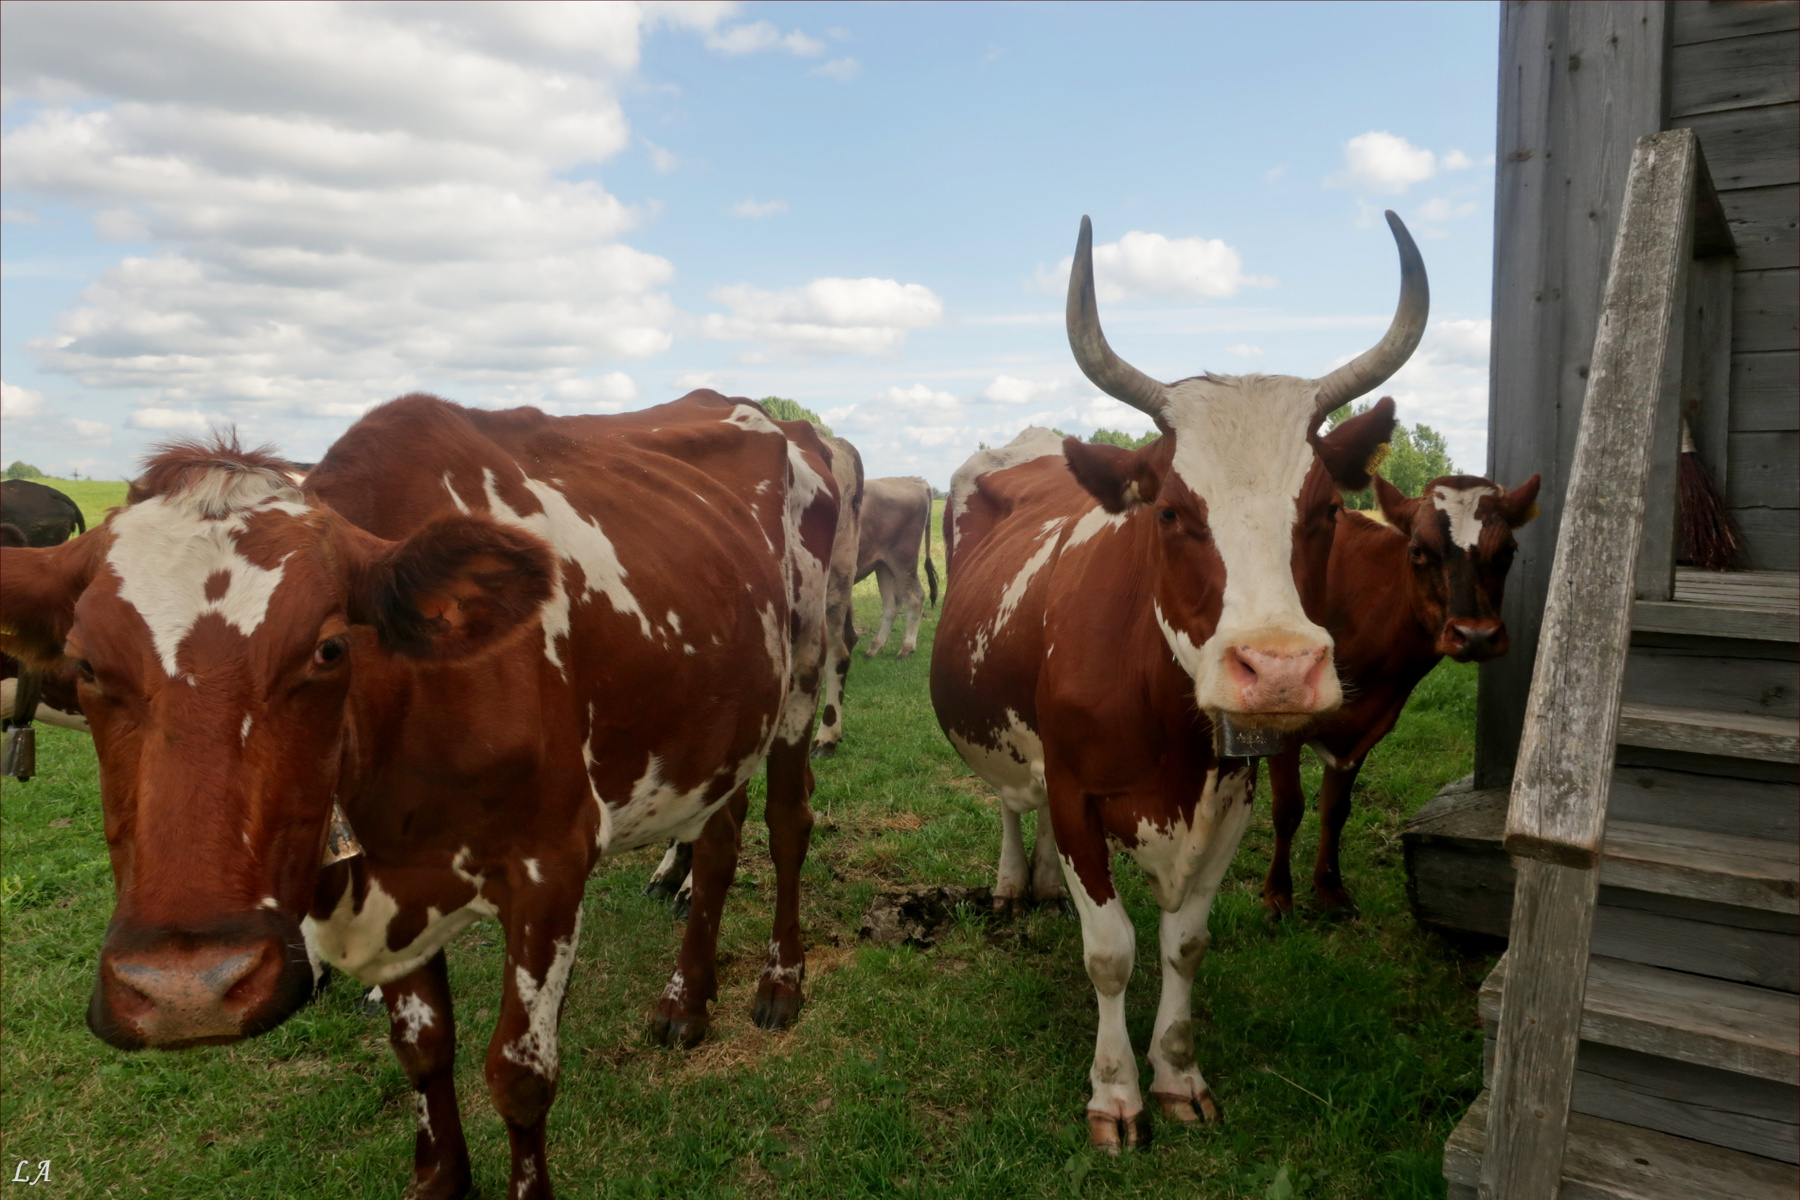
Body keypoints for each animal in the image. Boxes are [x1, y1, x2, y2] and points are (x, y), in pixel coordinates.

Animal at [0, 390, 840, 1200]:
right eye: (83, 663)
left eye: (329, 648)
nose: (186, 991)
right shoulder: (388, 884)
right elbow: (424, 1049)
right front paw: (439, 1175)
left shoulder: (551, 870)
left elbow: (520, 1076)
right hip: (721, 726)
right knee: (719, 841)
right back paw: (686, 1000)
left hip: (801, 682)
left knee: (786, 824)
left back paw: (779, 981)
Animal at [855, 476, 938, 660]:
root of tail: (915, 480)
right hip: (883, 565)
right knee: (892, 603)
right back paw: (874, 648)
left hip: (902, 561)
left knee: (915, 597)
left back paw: (906, 649)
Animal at [930, 211, 1424, 1152]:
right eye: (1170, 510)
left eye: (1326, 511)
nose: (1278, 668)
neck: (1166, 724)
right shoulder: (1078, 794)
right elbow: (1111, 950)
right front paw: (1115, 1091)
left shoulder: (1230, 796)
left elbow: (1184, 943)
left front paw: (1177, 1074)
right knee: (1012, 799)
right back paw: (1015, 880)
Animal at [1261, 470, 1540, 919]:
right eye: (1417, 551)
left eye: (1508, 552)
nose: (1476, 635)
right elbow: (1288, 809)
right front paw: (1278, 895)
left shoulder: (1364, 725)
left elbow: (1335, 810)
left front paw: (1330, 888)